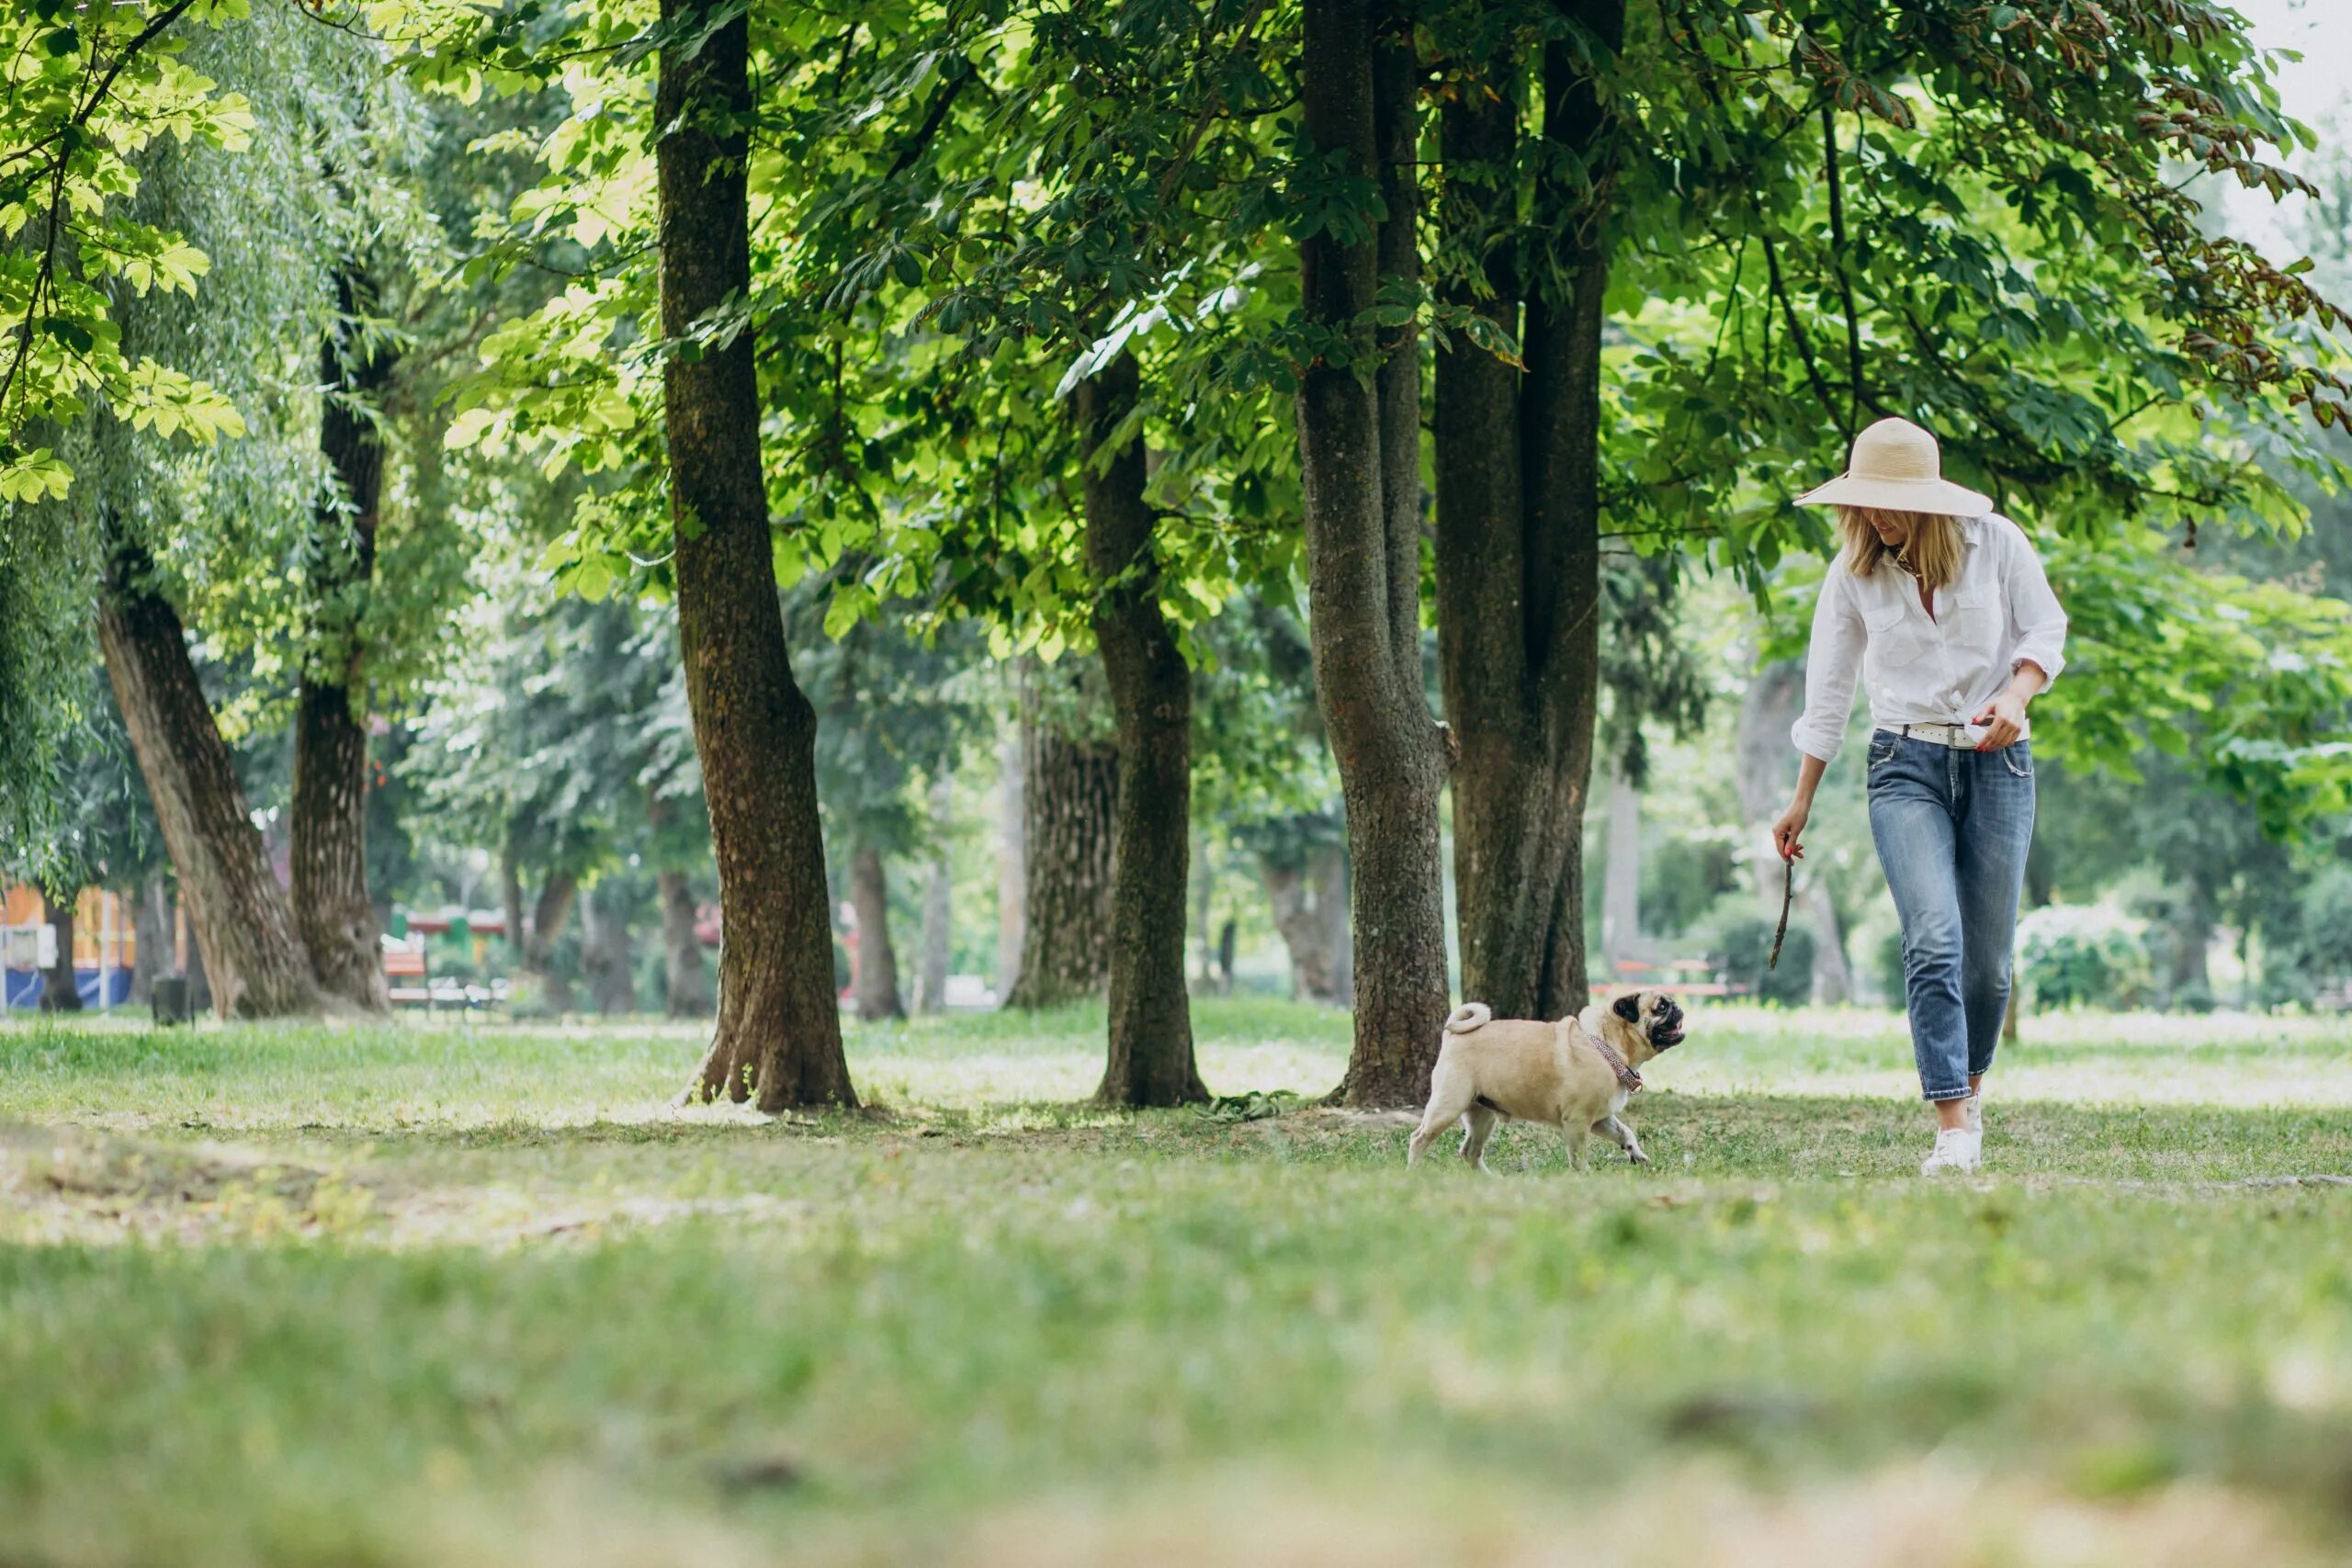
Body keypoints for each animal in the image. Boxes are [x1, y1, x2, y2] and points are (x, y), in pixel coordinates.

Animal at [1401, 987, 1683, 1170]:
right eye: (1661, 1007)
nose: (1678, 1008)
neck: (1607, 1044)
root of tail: (1452, 1035)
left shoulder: (1600, 1119)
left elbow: (1625, 1133)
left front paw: (1637, 1155)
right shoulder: (1578, 1121)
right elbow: (1579, 1156)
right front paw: (1585, 1178)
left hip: (1482, 1115)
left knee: (1470, 1152)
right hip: (1448, 1106)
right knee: (1419, 1139)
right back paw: (1413, 1174)